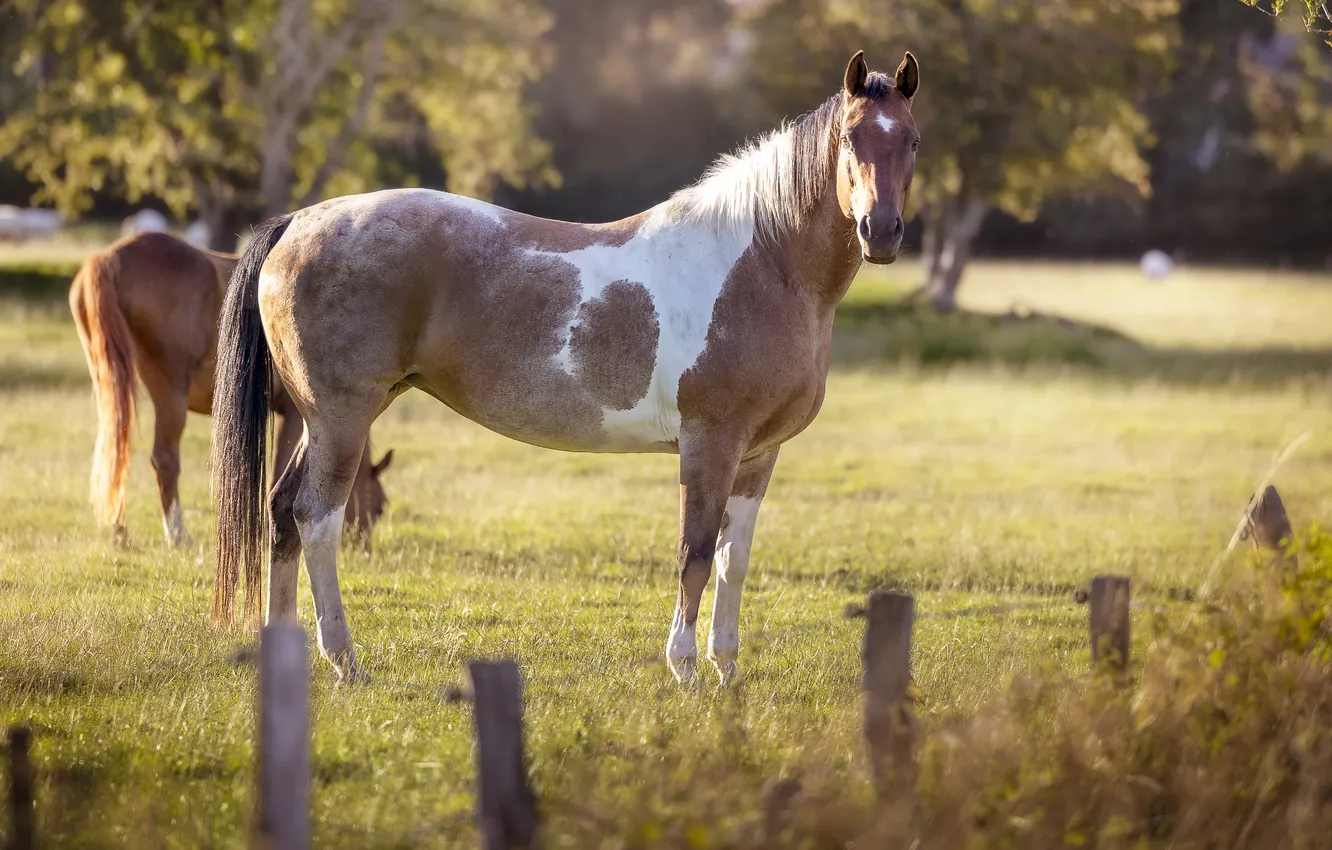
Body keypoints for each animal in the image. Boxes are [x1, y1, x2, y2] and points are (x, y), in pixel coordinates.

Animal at [68, 231, 394, 548]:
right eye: (379, 509)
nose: (363, 547)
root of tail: (108, 259)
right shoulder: (294, 416)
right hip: (169, 392)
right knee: (164, 459)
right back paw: (177, 535)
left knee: (116, 451)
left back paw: (120, 531)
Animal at [211, 51, 920, 684]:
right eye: (851, 138)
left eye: (912, 140)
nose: (881, 232)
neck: (760, 262)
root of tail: (298, 222)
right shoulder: (710, 443)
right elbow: (693, 553)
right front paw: (686, 670)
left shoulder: (758, 454)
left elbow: (732, 561)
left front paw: (727, 672)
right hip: (343, 416)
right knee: (317, 520)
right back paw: (344, 660)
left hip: (325, 419)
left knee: (281, 512)